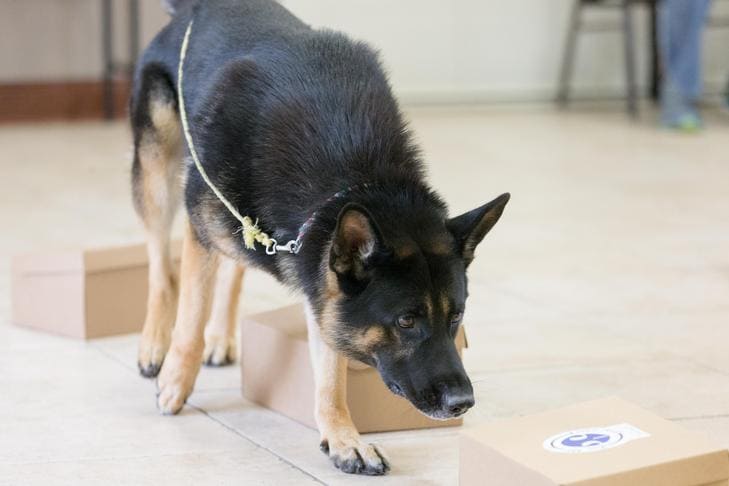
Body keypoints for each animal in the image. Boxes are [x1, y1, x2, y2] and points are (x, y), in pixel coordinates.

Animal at [131, 0, 506, 474]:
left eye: (456, 317)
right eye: (406, 321)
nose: (463, 403)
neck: (356, 179)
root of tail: (201, 7)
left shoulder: (320, 277)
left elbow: (330, 372)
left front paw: (342, 436)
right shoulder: (205, 229)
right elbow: (191, 315)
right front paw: (176, 381)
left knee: (234, 264)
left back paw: (221, 337)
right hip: (158, 175)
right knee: (162, 267)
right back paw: (154, 347)